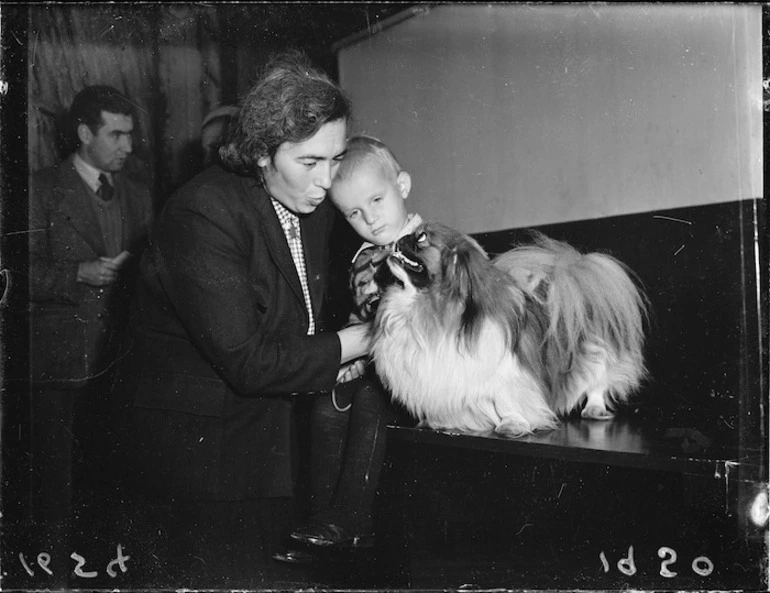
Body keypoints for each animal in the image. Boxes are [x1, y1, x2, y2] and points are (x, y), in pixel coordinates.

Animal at [368, 220, 644, 438]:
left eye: (422, 237)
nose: (398, 238)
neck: (427, 306)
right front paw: (440, 421)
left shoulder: (505, 373)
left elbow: (505, 401)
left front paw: (513, 424)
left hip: (595, 354)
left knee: (598, 381)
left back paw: (594, 408)